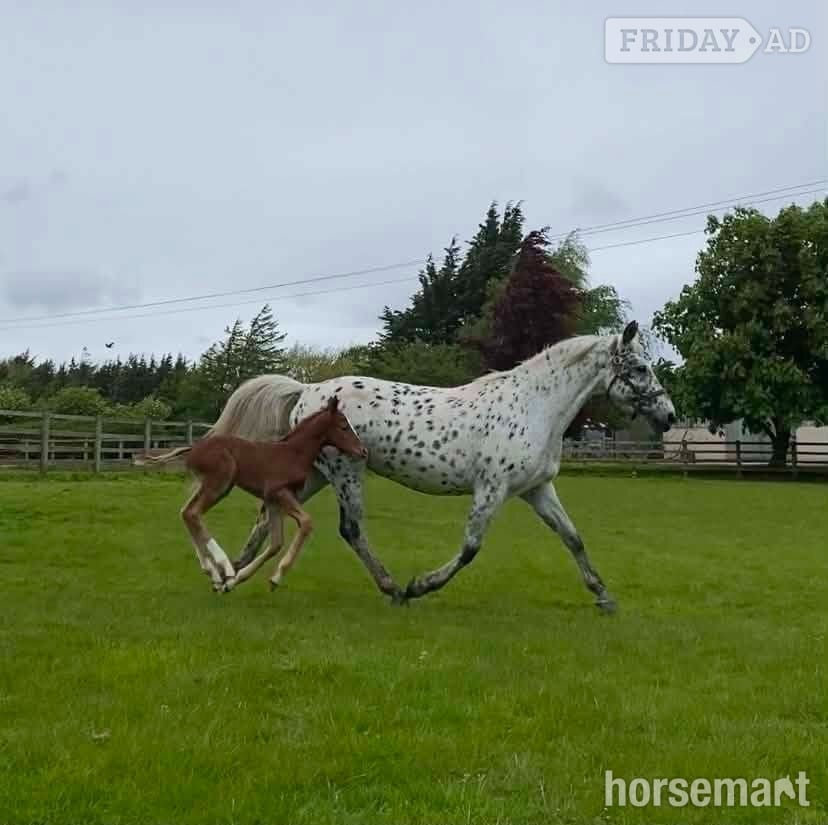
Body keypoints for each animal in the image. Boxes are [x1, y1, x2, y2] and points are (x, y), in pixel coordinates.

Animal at [136, 396, 366, 591]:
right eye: (343, 426)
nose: (363, 451)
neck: (293, 453)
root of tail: (193, 449)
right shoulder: (279, 492)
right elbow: (306, 523)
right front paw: (275, 578)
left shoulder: (273, 500)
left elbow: (276, 543)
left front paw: (237, 580)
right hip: (219, 483)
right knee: (192, 513)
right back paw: (224, 568)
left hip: (217, 486)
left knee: (186, 513)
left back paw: (214, 575)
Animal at [208, 321, 675, 611]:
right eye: (639, 367)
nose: (669, 416)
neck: (533, 407)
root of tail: (307, 390)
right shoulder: (492, 489)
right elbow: (470, 548)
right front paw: (421, 586)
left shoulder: (536, 489)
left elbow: (573, 538)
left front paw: (603, 596)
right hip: (344, 472)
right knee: (351, 530)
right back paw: (393, 589)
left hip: (318, 475)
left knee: (265, 518)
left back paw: (227, 577)